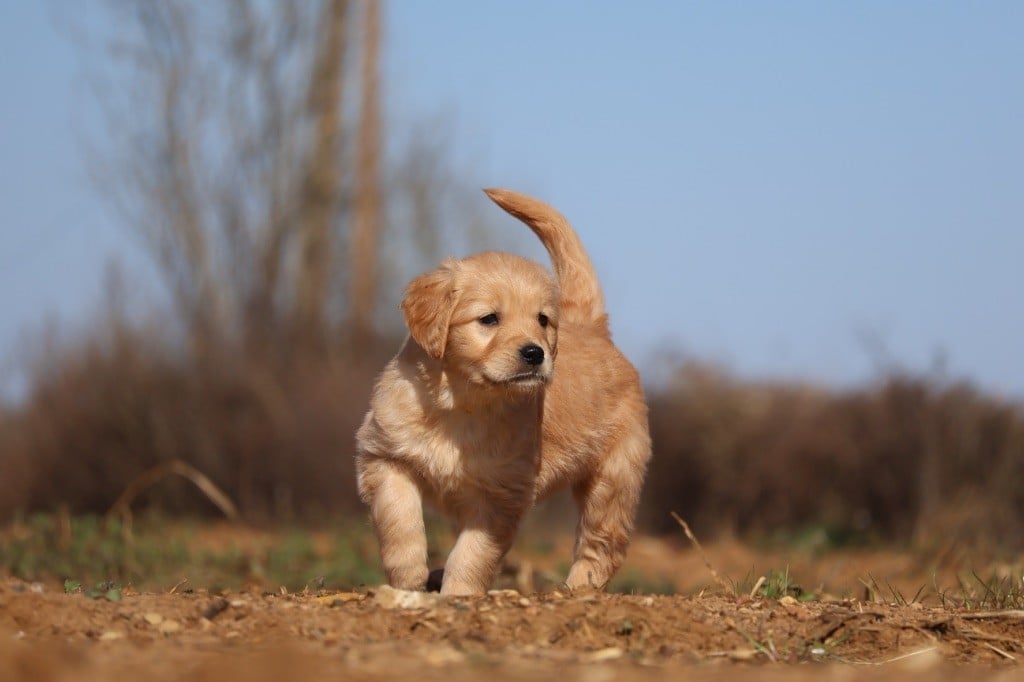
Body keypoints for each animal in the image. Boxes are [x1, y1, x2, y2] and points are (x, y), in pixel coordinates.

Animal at [356, 188, 651, 593]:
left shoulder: (501, 495)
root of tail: (591, 326)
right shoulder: (386, 456)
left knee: (604, 541)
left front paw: (458, 593)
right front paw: (409, 576)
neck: (463, 402)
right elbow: (399, 520)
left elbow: (472, 554)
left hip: (613, 478)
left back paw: (578, 587)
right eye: (489, 319)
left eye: (542, 320)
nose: (535, 353)